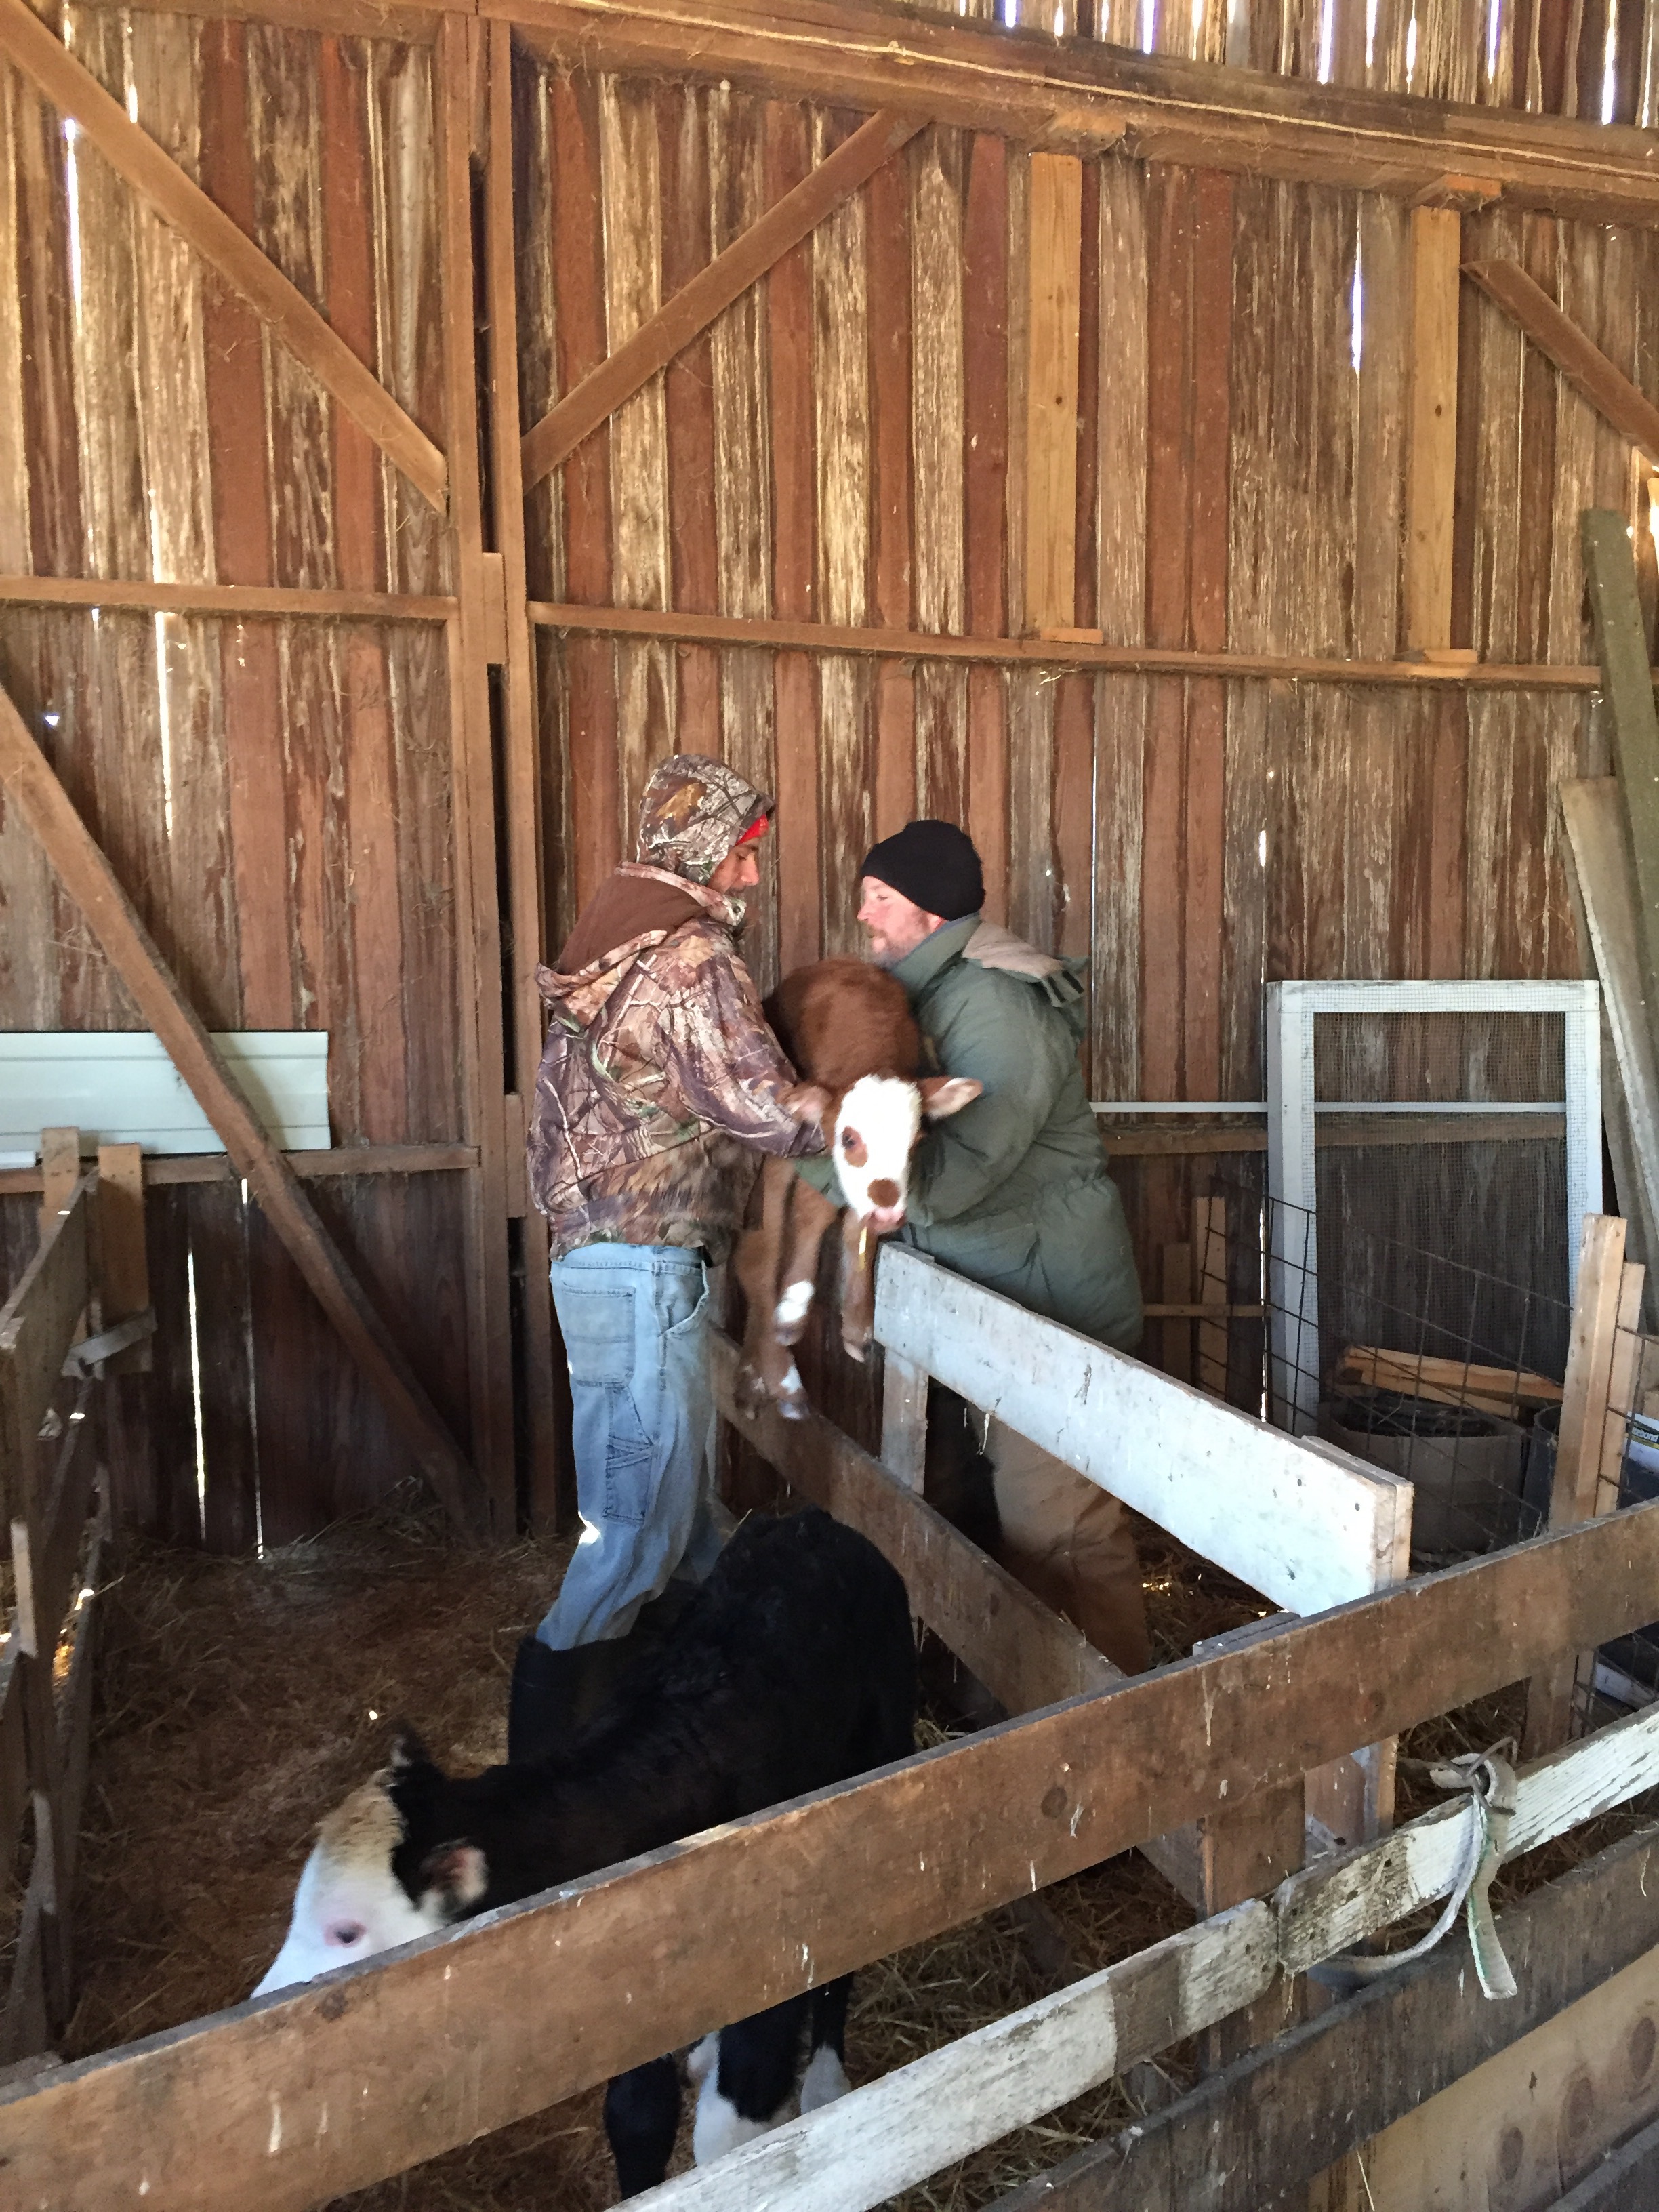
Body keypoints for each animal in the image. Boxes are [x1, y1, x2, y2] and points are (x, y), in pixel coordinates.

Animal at [251, 1510, 917, 2199]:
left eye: (347, 1932)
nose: (265, 2011)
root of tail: (818, 1520)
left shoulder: (785, 1946)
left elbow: (730, 2132)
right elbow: (637, 2116)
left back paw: (825, 2081)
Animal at [735, 958, 981, 1418]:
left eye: (917, 1142)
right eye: (849, 1139)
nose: (889, 1212)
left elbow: (856, 1223)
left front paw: (857, 1321)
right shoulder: (794, 1143)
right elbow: (807, 1212)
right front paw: (793, 1309)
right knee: (758, 1253)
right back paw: (778, 1377)